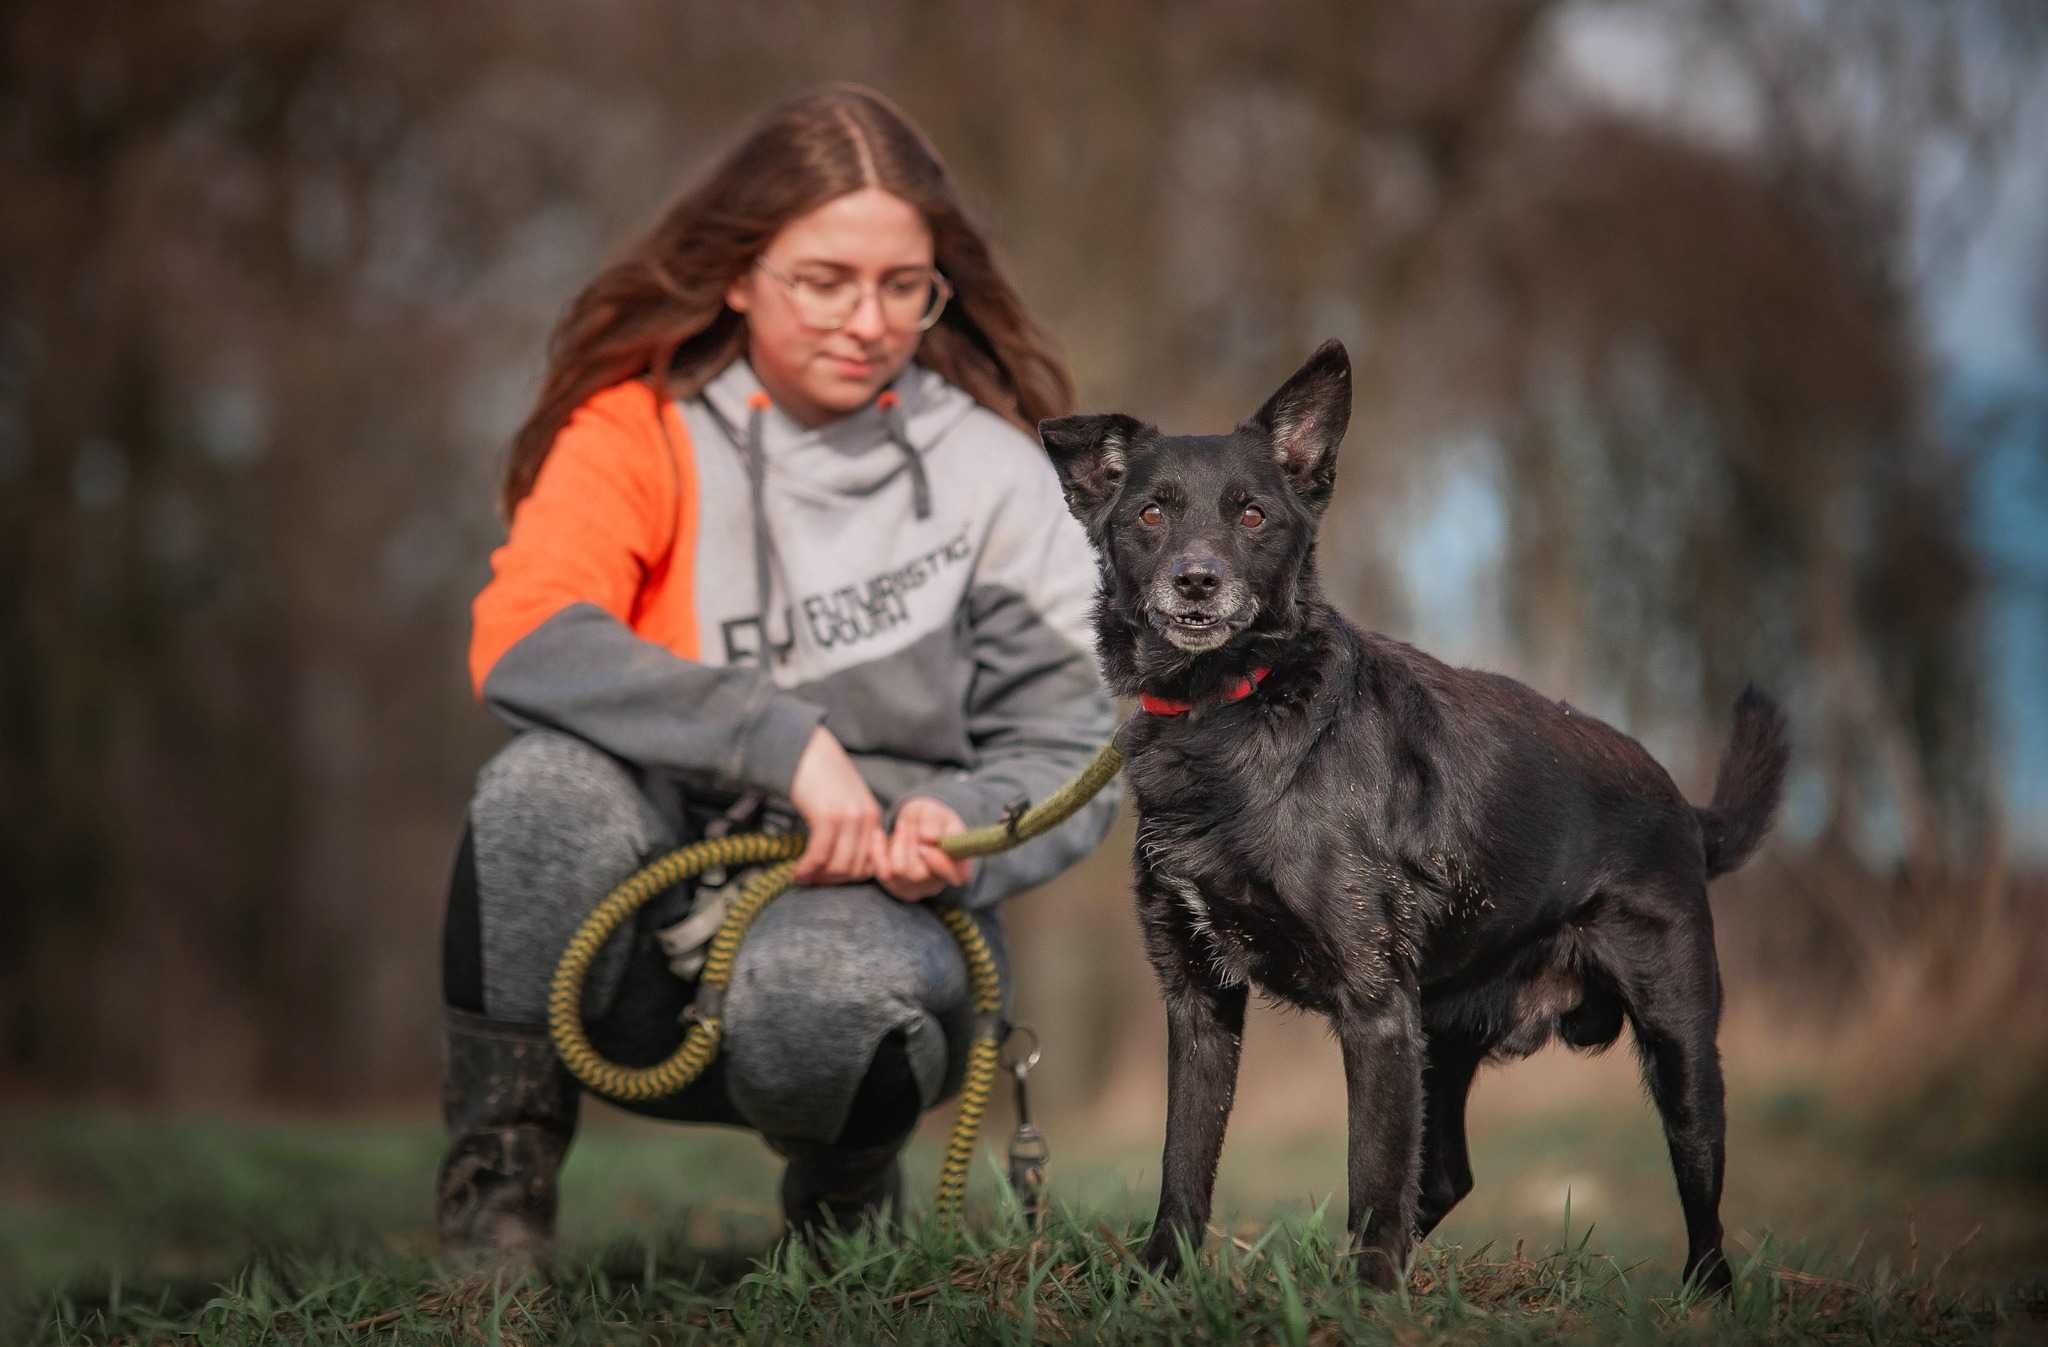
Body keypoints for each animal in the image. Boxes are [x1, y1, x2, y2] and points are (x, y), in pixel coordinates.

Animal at [1040, 337, 1777, 1293]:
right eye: (1151, 514)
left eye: (1252, 516)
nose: (1197, 581)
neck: (1230, 714)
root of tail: (1684, 807)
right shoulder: (1199, 999)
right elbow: (1184, 1164)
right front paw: (1161, 1283)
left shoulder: (1373, 1003)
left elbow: (1370, 1170)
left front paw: (1363, 1300)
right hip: (1448, 1033)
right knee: (1447, 1174)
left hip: (1679, 1040)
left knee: (1701, 1191)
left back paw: (1703, 1295)